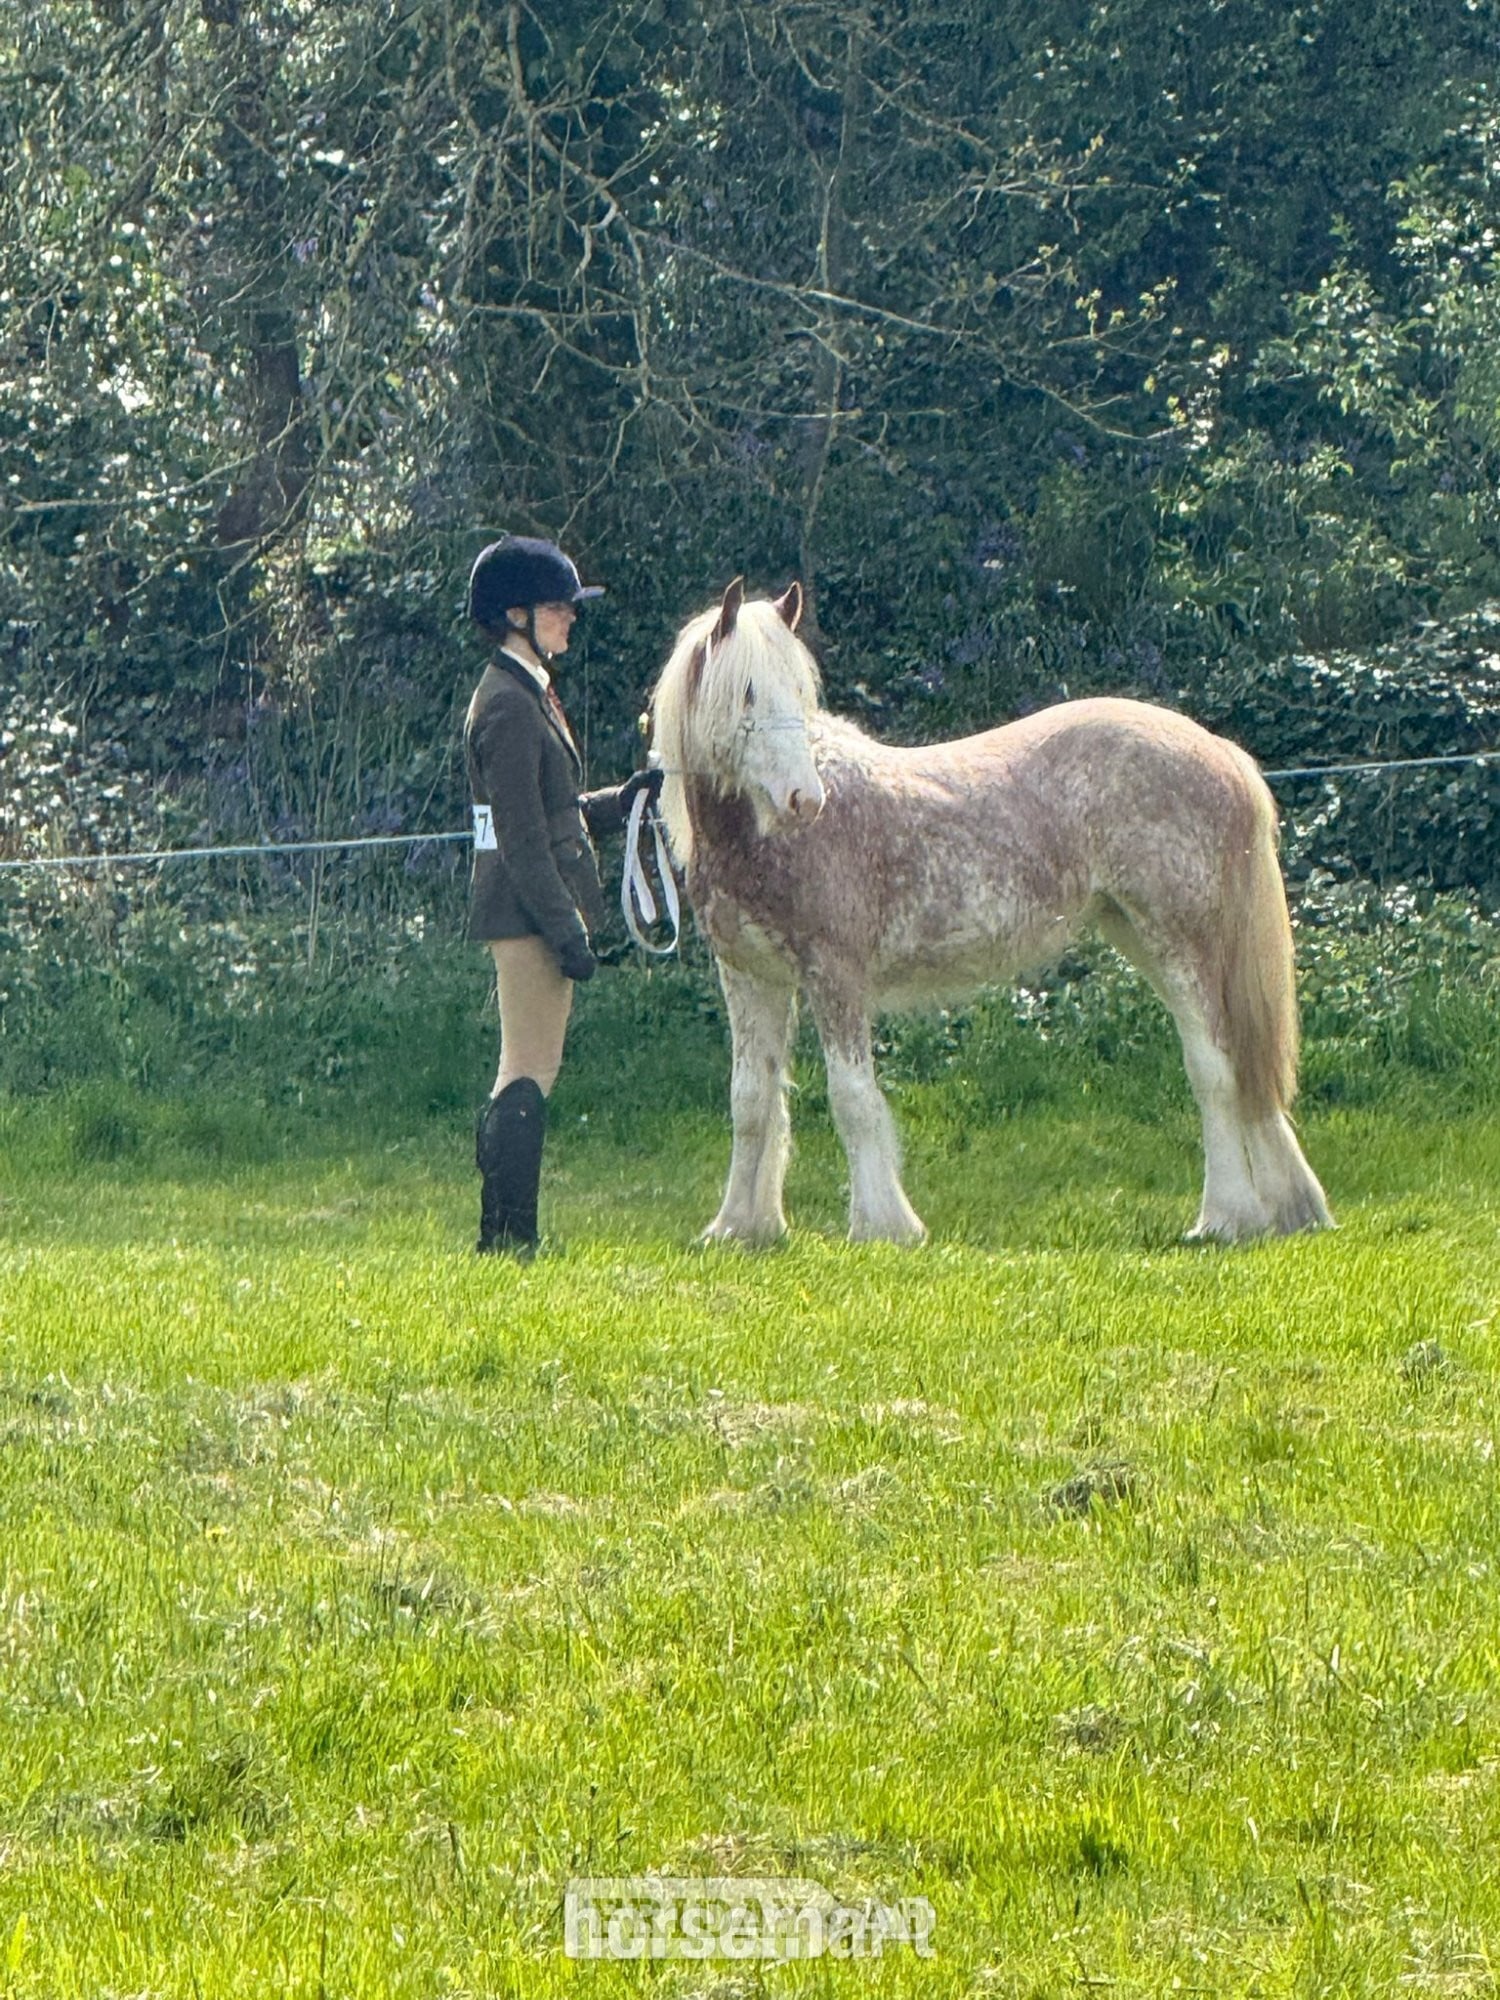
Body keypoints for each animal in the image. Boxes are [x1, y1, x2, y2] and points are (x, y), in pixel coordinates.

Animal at [649, 577, 1332, 1247]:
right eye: (745, 695)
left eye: (798, 688)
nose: (803, 800)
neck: (759, 840)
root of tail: (1220, 750)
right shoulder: (752, 978)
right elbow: (752, 1100)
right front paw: (740, 1227)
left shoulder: (835, 975)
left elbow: (852, 1098)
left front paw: (884, 1226)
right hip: (1142, 935)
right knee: (1243, 1068)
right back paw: (1292, 1209)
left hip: (1179, 940)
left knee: (1215, 1068)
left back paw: (1226, 1218)